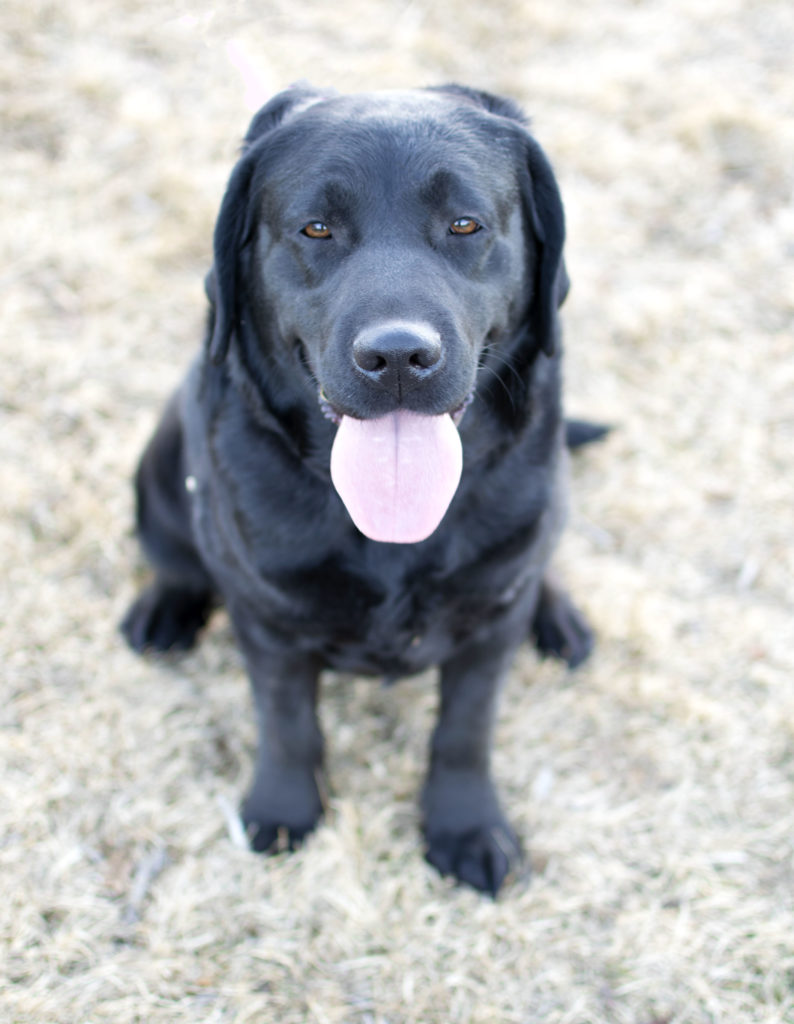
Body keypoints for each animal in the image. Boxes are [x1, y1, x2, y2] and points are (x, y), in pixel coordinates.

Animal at [122, 83, 598, 892]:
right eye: (316, 228)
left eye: (465, 224)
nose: (398, 354)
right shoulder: (267, 620)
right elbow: (288, 723)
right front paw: (283, 808)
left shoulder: (489, 629)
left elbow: (465, 730)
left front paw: (467, 827)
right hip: (161, 454)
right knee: (173, 552)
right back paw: (164, 608)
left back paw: (559, 616)